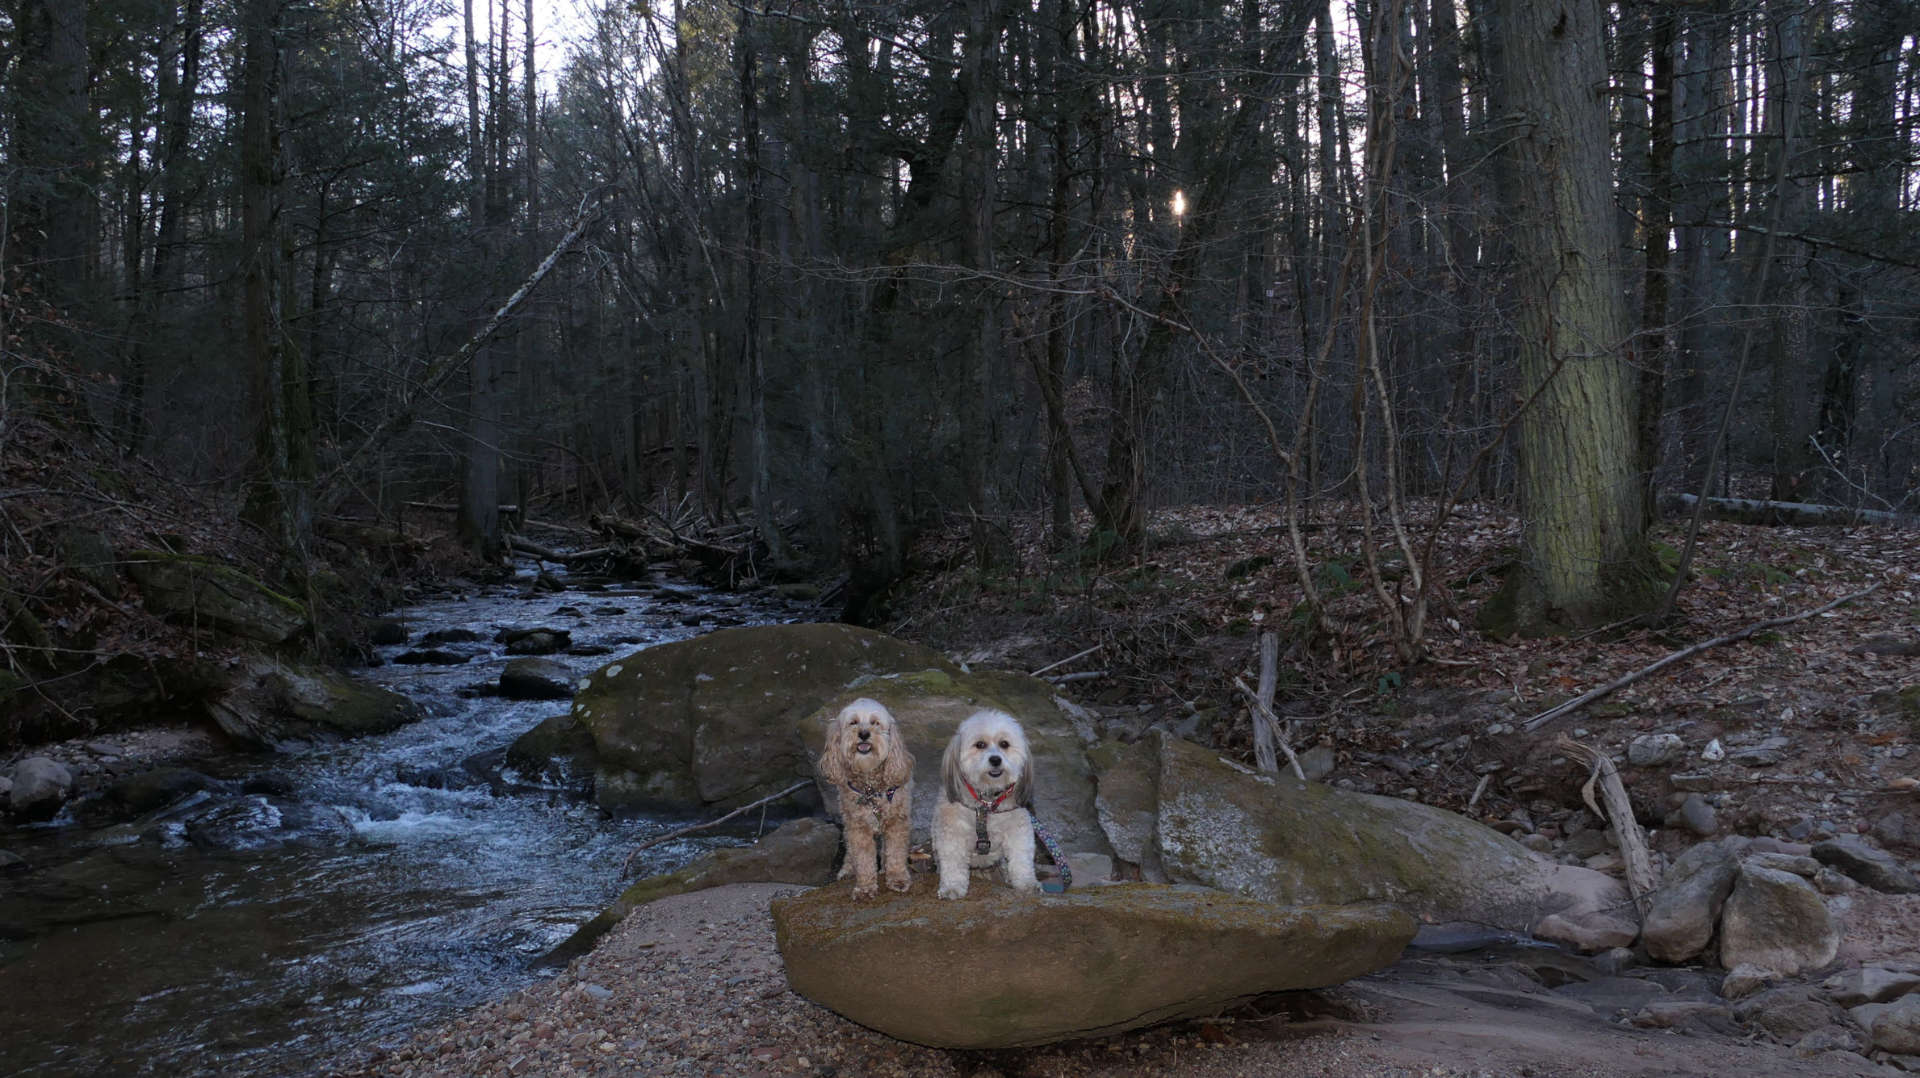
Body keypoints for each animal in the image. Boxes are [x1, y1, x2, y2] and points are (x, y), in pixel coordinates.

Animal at [817, 691, 913, 895]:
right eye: (853, 722)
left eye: (875, 723)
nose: (863, 734)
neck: (870, 785)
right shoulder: (858, 825)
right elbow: (862, 858)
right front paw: (865, 887)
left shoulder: (897, 821)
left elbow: (895, 852)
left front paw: (897, 878)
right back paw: (847, 869)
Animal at [929, 707, 1036, 899]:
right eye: (980, 745)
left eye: (1004, 744)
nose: (995, 759)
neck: (986, 802)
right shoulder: (953, 833)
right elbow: (953, 862)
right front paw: (952, 888)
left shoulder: (1018, 830)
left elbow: (1021, 858)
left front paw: (1026, 884)